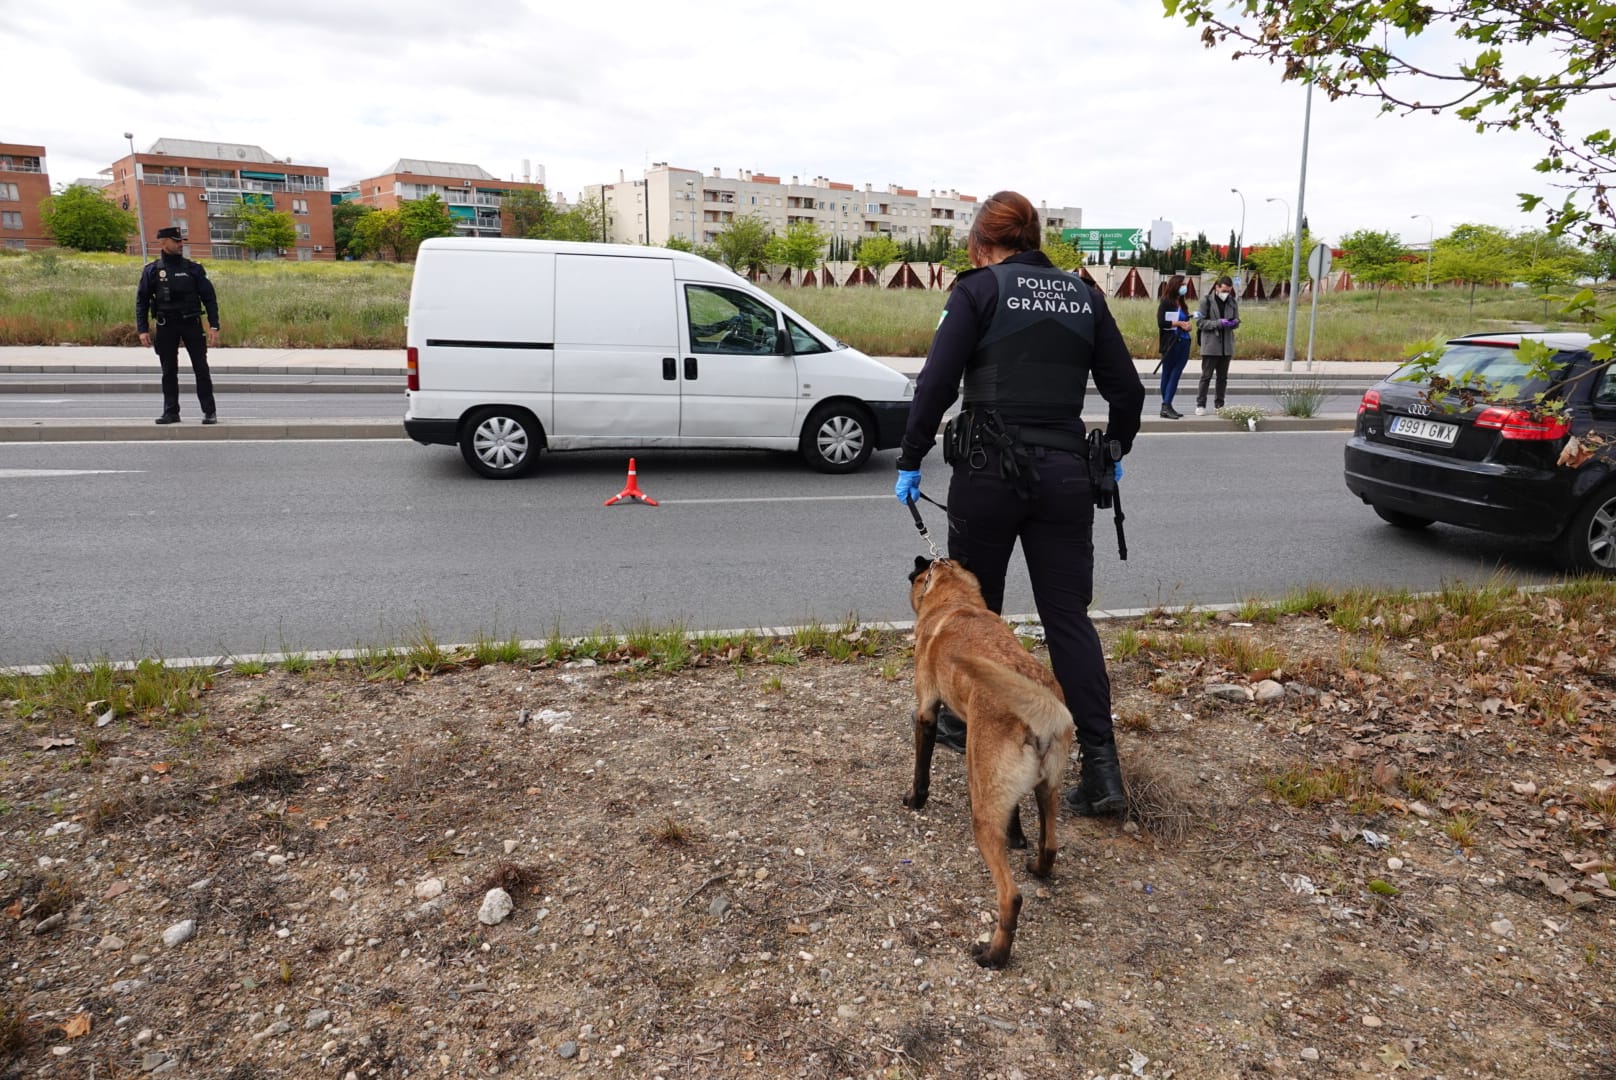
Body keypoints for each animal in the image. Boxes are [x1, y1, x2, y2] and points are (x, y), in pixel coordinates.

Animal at [911, 556, 1073, 970]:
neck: (955, 602)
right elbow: (1014, 816)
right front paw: (1016, 837)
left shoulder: (926, 710)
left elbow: (921, 768)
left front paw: (914, 799)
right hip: (1046, 790)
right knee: (1050, 845)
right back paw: (1037, 866)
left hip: (982, 816)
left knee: (1010, 896)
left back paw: (994, 954)